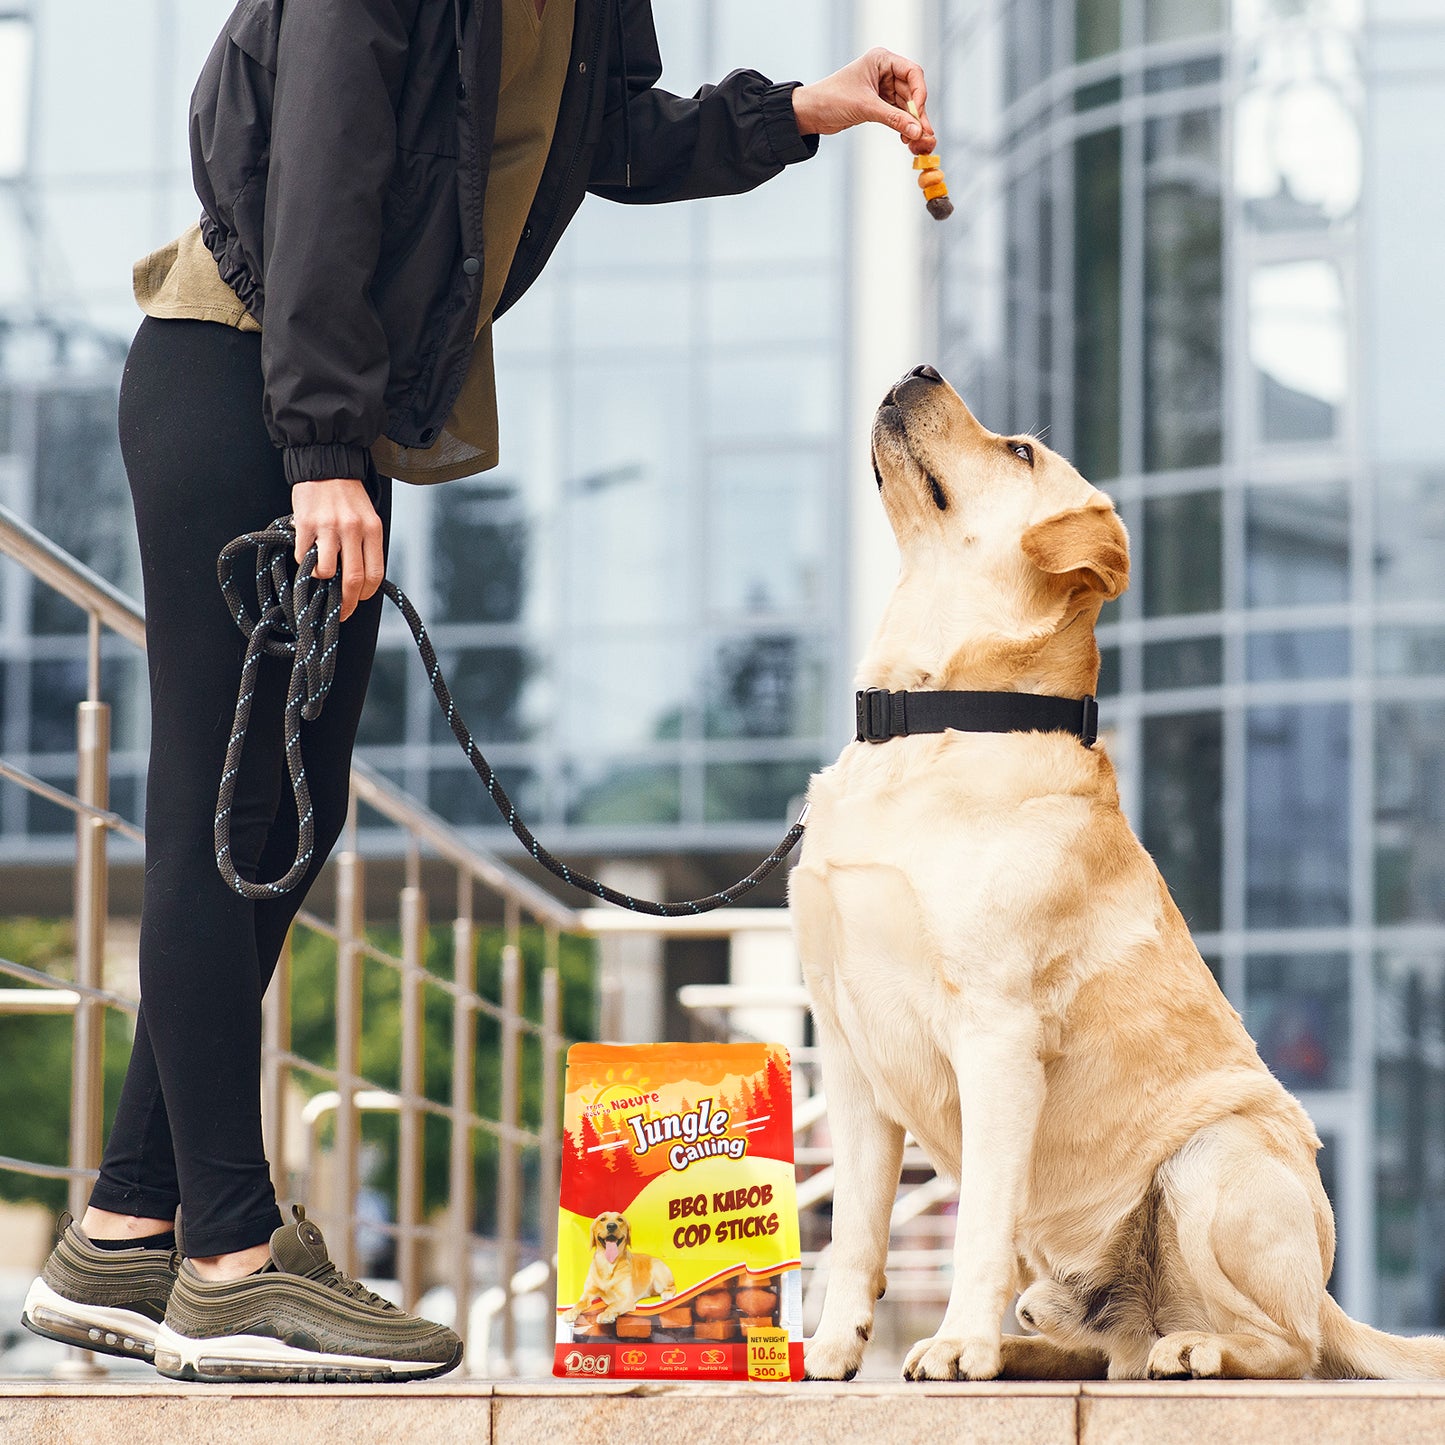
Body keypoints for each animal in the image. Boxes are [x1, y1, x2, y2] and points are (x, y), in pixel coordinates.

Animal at [791, 367, 1445, 1381]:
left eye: (1020, 450)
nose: (917, 371)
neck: (931, 714)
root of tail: (1330, 1300)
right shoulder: (851, 1050)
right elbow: (854, 1229)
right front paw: (832, 1347)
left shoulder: (996, 1035)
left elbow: (976, 1220)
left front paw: (959, 1342)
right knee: (1104, 1351)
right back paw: (1027, 1350)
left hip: (1212, 1160)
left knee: (1284, 1347)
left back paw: (1190, 1350)